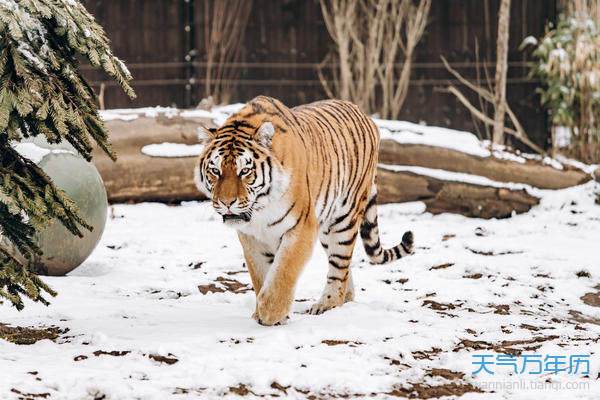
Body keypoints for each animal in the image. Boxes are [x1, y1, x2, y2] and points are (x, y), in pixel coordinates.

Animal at [195, 96, 414, 324]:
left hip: (343, 220)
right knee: (344, 269)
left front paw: (269, 313)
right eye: (215, 171)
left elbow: (283, 272)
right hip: (327, 225)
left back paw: (327, 304)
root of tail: (364, 114)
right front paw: (262, 312)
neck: (260, 209)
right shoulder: (251, 236)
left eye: (245, 171)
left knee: (339, 267)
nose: (226, 202)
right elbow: (261, 275)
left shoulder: (301, 227)